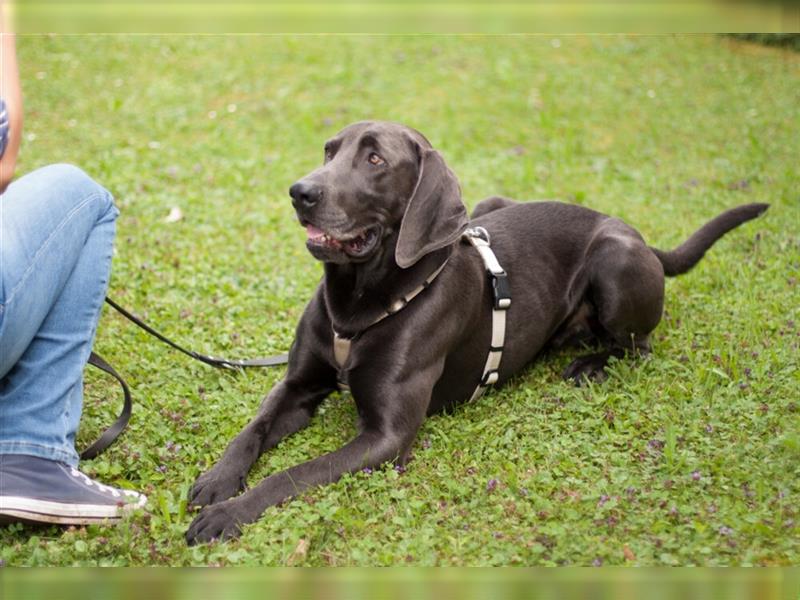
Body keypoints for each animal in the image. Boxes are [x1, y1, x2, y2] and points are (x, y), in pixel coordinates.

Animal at [184, 122, 764, 544]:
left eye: (374, 160)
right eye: (329, 151)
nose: (299, 192)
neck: (360, 302)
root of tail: (634, 233)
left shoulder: (386, 437)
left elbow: (296, 473)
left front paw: (230, 513)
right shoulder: (298, 386)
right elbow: (252, 430)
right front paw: (218, 481)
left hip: (615, 261)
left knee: (638, 346)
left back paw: (589, 363)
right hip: (493, 205)